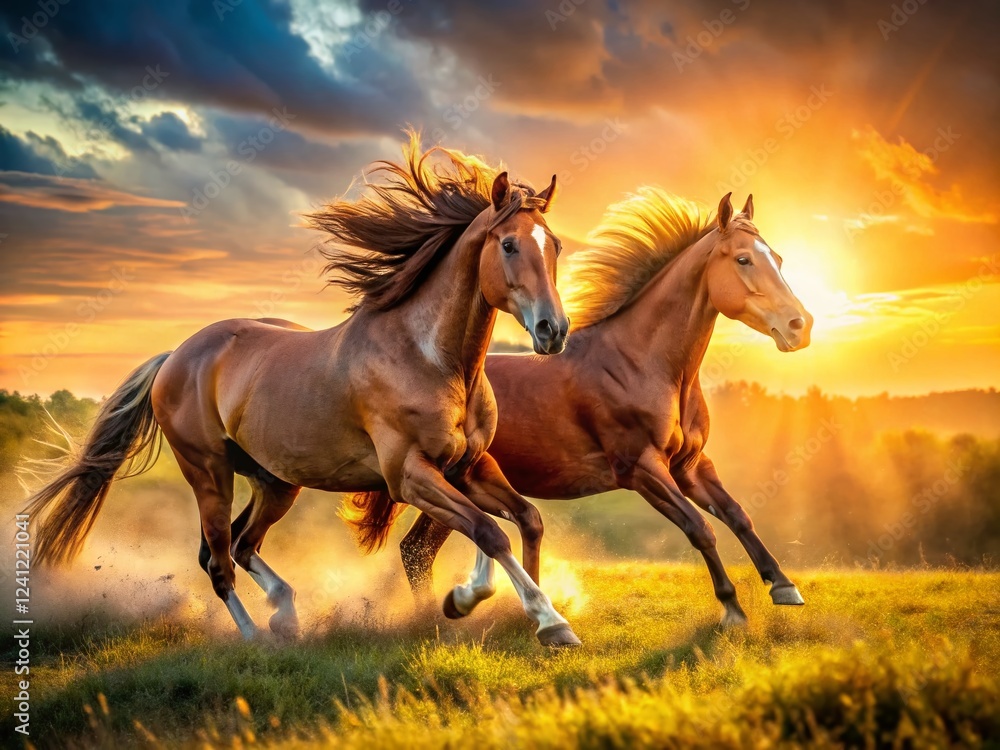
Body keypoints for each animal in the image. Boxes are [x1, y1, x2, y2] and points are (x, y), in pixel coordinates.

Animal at [24, 135, 584, 647]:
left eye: (555, 246)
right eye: (508, 245)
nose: (552, 330)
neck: (430, 359)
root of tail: (176, 356)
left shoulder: (469, 465)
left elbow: (524, 521)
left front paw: (498, 605)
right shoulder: (409, 476)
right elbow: (487, 531)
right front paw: (539, 619)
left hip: (274, 482)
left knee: (240, 546)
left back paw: (286, 613)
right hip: (208, 473)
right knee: (219, 560)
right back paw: (258, 638)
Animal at [396, 189, 814, 627]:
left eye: (778, 259)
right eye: (743, 259)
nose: (799, 326)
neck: (642, 363)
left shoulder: (691, 466)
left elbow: (737, 515)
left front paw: (784, 586)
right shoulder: (642, 469)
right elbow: (699, 527)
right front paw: (732, 608)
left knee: (416, 550)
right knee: (419, 550)